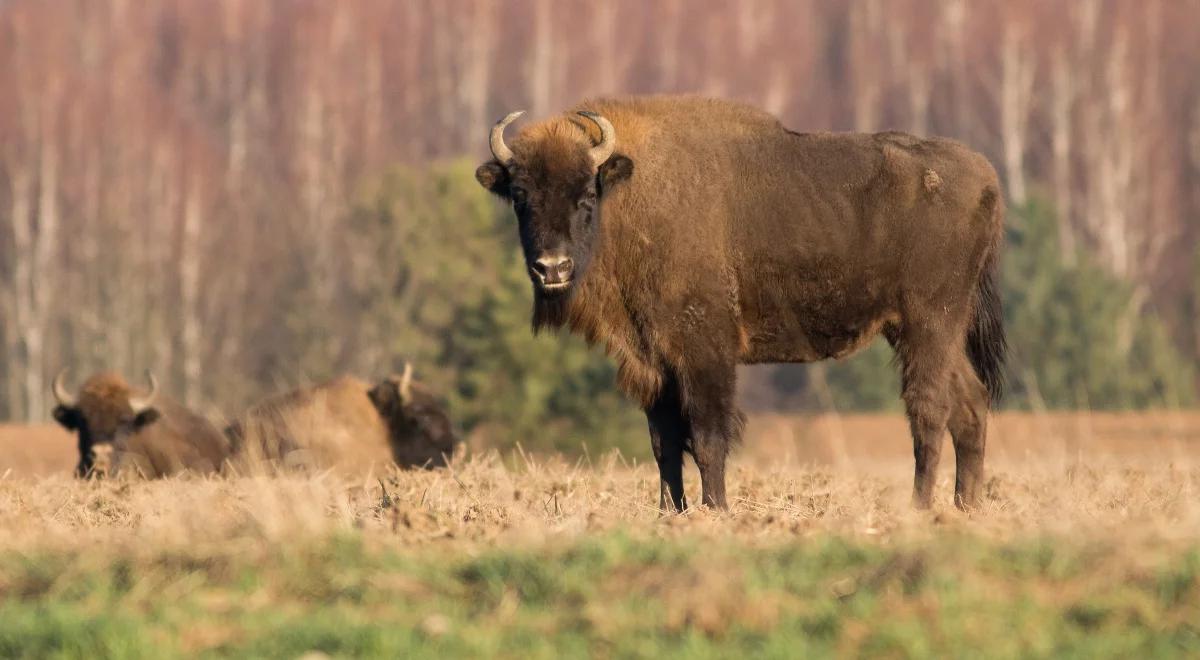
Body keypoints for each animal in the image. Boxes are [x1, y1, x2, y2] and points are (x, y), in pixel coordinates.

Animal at [472, 96, 1008, 516]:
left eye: (586, 192)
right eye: (520, 195)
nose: (552, 267)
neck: (629, 192)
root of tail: (988, 179)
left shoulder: (705, 352)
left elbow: (708, 437)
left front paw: (717, 510)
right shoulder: (652, 360)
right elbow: (665, 443)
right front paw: (670, 513)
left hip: (928, 324)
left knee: (930, 408)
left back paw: (920, 507)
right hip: (926, 331)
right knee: (971, 405)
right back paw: (967, 507)